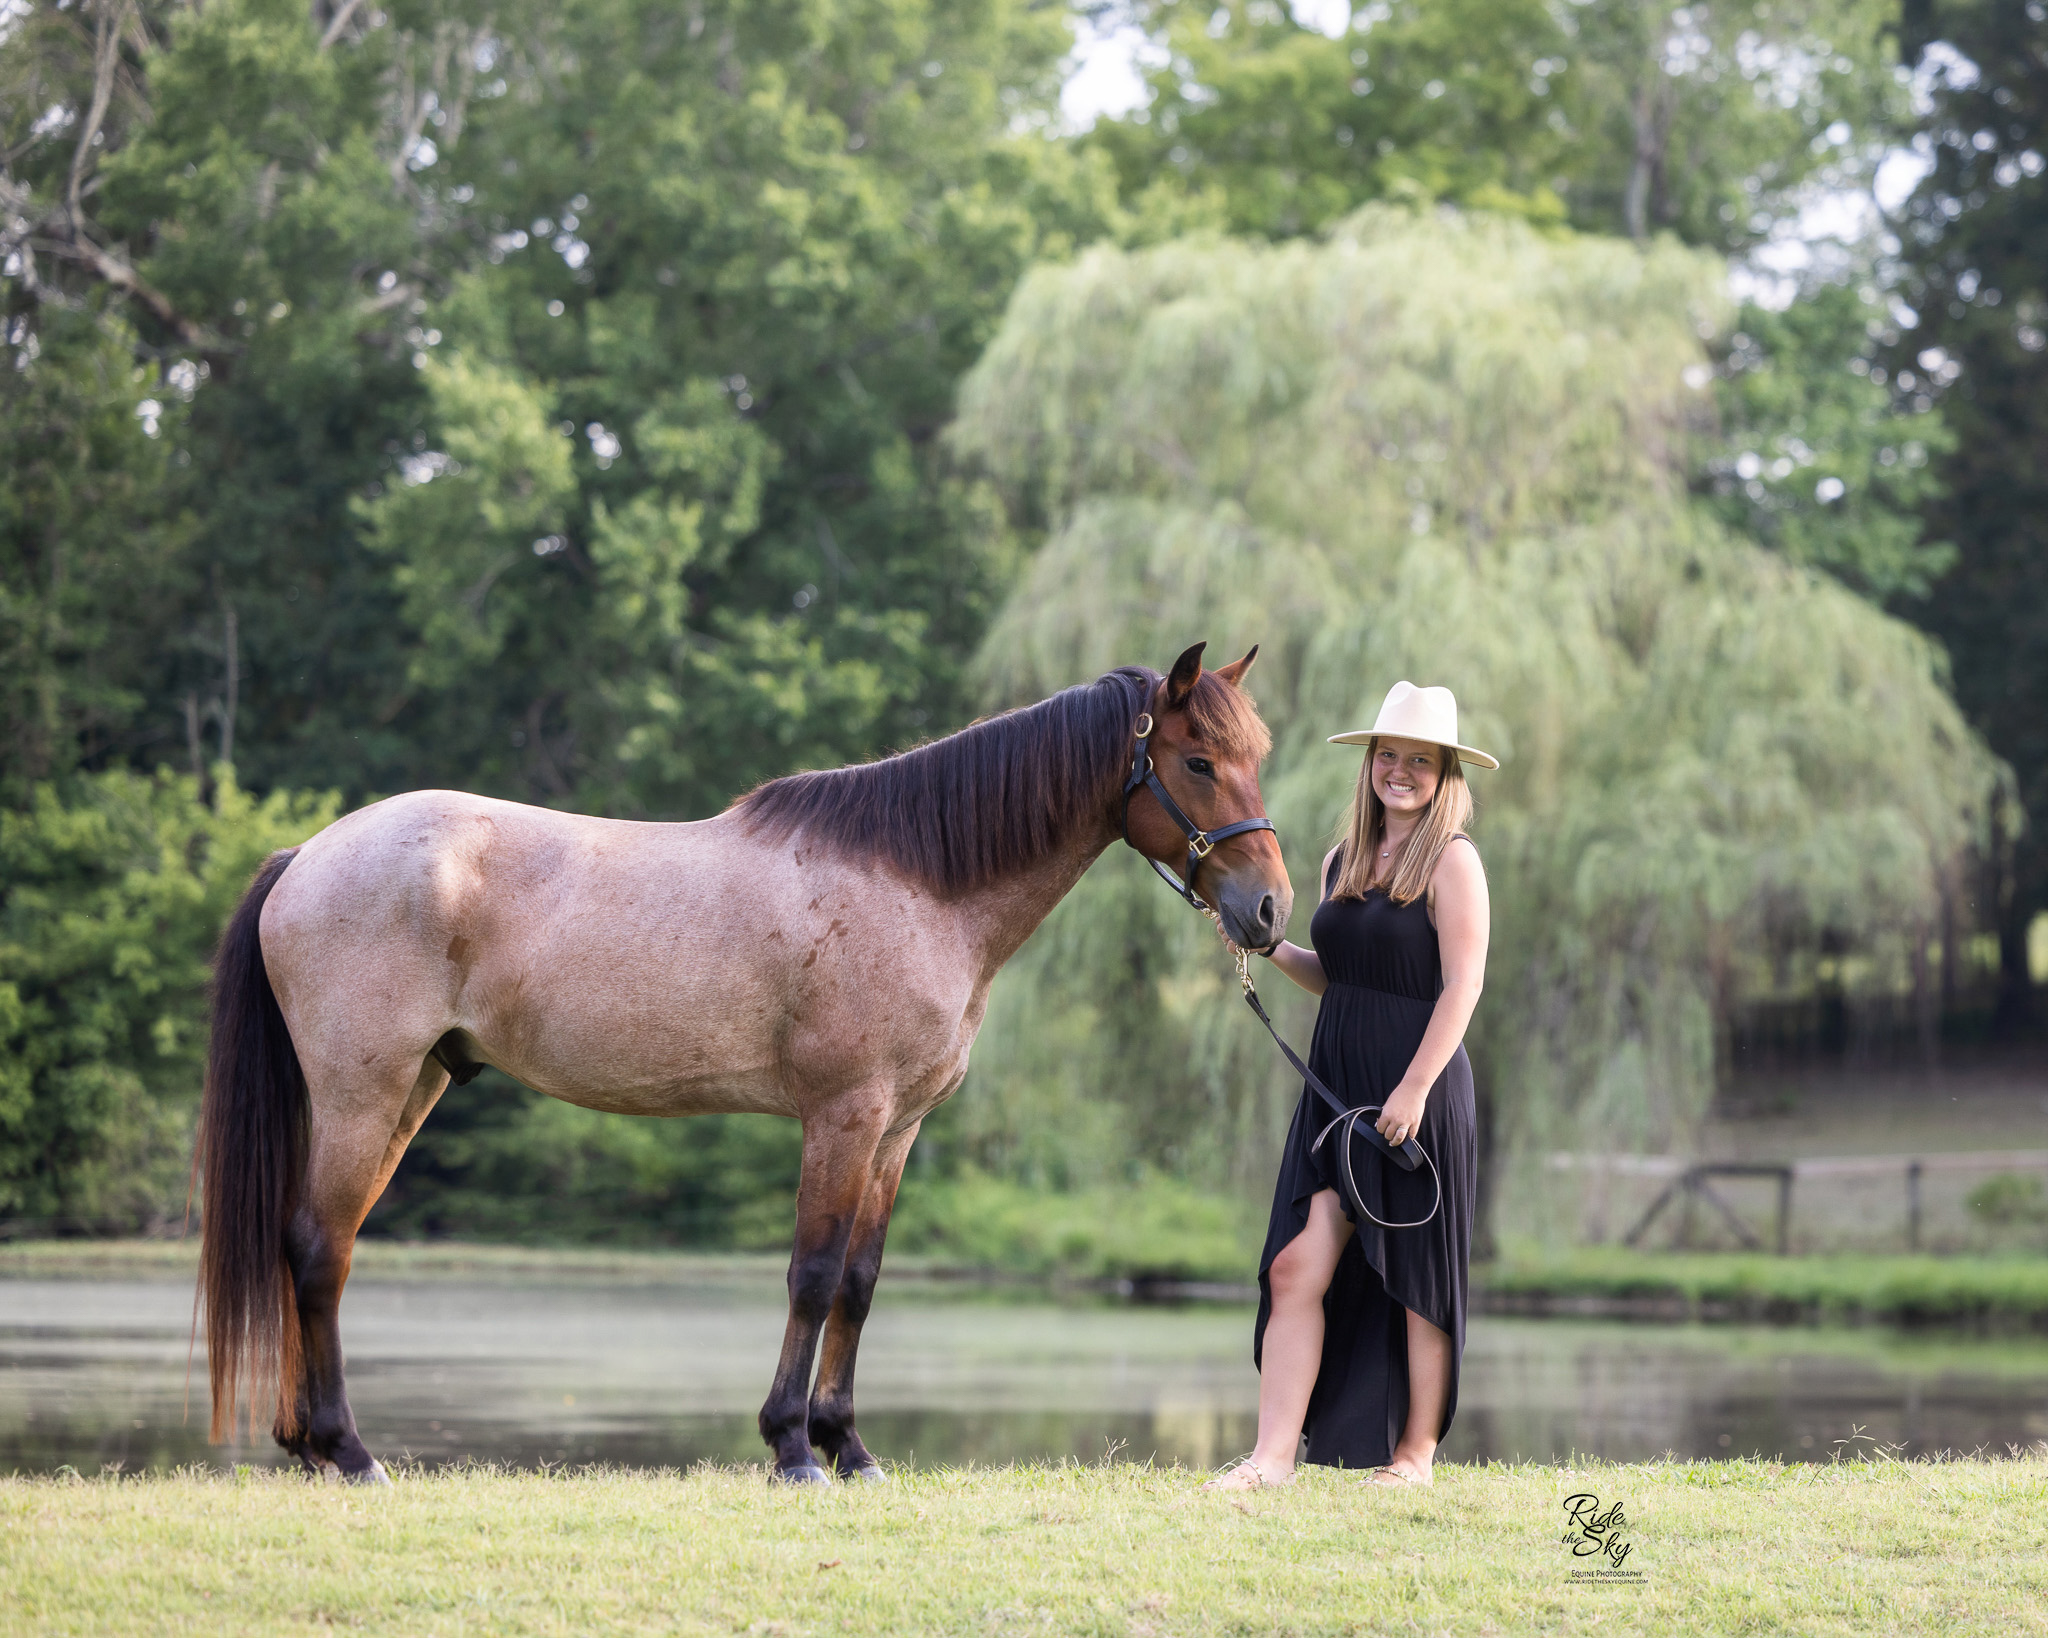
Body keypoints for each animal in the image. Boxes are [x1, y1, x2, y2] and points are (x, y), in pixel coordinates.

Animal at [199, 638, 1286, 1482]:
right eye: (1196, 761)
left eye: (1255, 755)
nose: (1270, 911)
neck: (917, 883)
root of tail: (306, 856)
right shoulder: (843, 1114)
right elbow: (812, 1273)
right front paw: (793, 1449)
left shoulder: (898, 1127)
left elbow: (860, 1281)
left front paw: (849, 1448)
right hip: (363, 1090)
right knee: (318, 1248)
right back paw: (348, 1451)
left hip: (412, 1088)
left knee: (322, 1245)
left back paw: (308, 1447)